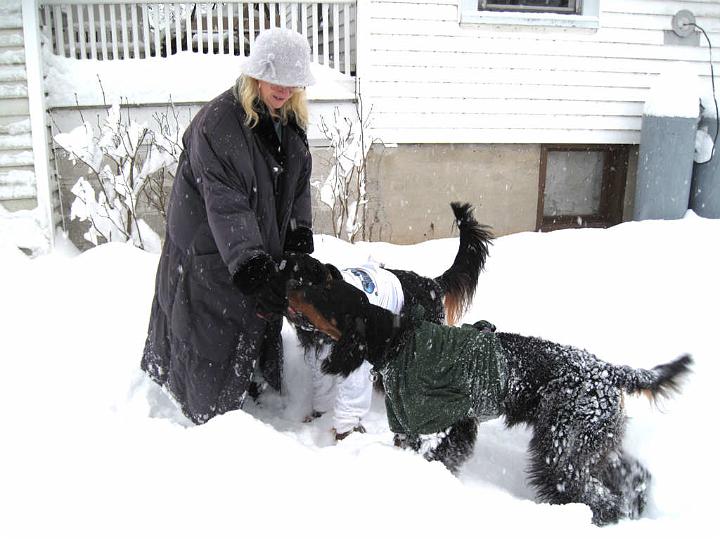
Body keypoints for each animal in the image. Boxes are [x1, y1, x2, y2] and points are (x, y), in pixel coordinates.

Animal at [284, 276, 696, 524]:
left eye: (326, 295)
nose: (290, 290)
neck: (398, 341)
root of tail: (611, 371)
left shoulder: (443, 422)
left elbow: (438, 455)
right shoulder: (415, 423)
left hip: (563, 444)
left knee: (588, 489)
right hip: (594, 441)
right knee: (632, 474)